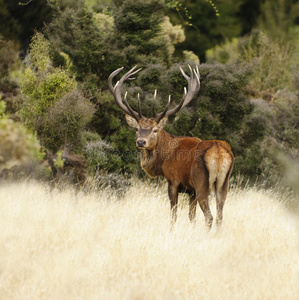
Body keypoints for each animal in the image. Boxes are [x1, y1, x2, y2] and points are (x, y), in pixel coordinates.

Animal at [109, 66, 236, 230]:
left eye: (155, 130)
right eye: (137, 129)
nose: (141, 142)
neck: (164, 158)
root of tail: (219, 154)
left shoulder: (173, 180)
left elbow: (173, 215)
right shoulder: (191, 190)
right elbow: (191, 216)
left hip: (202, 183)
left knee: (209, 217)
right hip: (223, 184)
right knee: (220, 216)